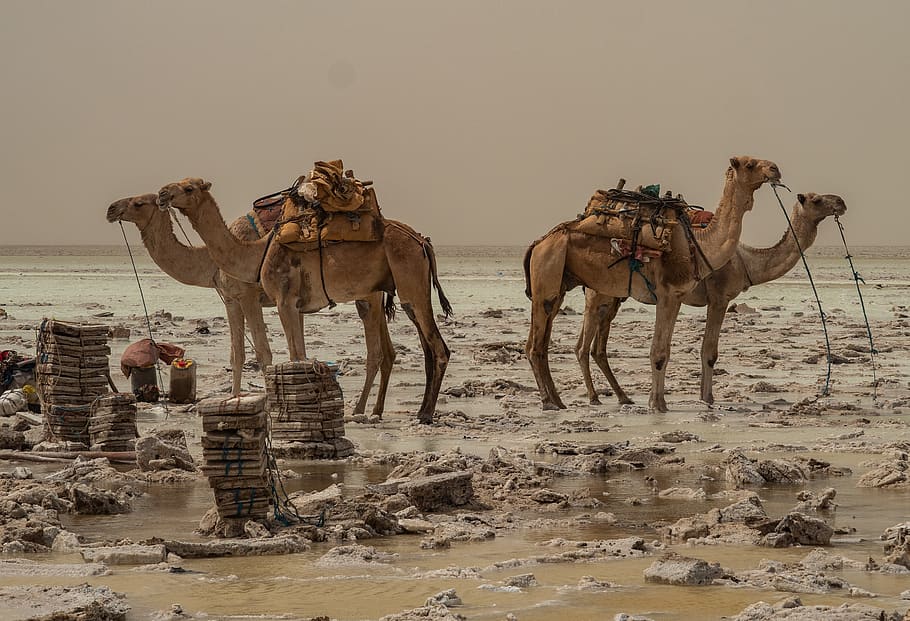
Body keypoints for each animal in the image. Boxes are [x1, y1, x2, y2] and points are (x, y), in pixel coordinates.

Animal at [106, 194, 396, 417]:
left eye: (139, 203)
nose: (112, 209)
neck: (213, 260)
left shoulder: (249, 296)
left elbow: (262, 353)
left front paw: (267, 404)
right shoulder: (231, 299)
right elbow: (237, 355)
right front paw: (232, 400)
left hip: (367, 293)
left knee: (375, 351)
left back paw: (359, 410)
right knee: (388, 351)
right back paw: (377, 409)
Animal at [156, 178, 451, 424]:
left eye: (188, 188)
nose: (162, 193)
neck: (256, 252)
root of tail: (422, 242)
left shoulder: (282, 300)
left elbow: (293, 356)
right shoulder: (293, 303)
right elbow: (299, 355)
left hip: (406, 281)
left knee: (433, 348)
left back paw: (417, 413)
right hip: (397, 291)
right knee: (420, 347)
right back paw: (402, 410)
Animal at [524, 156, 782, 412]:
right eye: (750, 164)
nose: (775, 169)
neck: (698, 245)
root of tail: (540, 242)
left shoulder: (677, 296)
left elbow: (663, 349)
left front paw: (658, 401)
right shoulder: (667, 295)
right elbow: (659, 352)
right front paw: (657, 404)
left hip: (560, 283)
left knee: (541, 342)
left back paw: (560, 401)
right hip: (549, 271)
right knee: (536, 345)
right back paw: (548, 401)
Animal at [576, 192, 847, 406]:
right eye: (816, 199)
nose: (841, 202)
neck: (746, 261)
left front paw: (703, 396)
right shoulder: (719, 297)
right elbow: (709, 350)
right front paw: (708, 398)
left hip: (613, 296)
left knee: (597, 346)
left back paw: (623, 397)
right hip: (597, 292)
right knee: (582, 346)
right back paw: (594, 397)